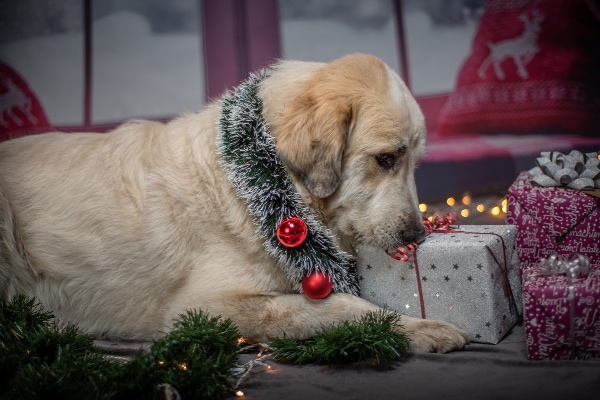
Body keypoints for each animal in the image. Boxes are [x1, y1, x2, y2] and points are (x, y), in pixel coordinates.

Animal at [0, 54, 468, 354]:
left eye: (415, 162)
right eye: (386, 159)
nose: (417, 235)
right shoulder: (202, 307)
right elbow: (339, 307)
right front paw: (421, 328)